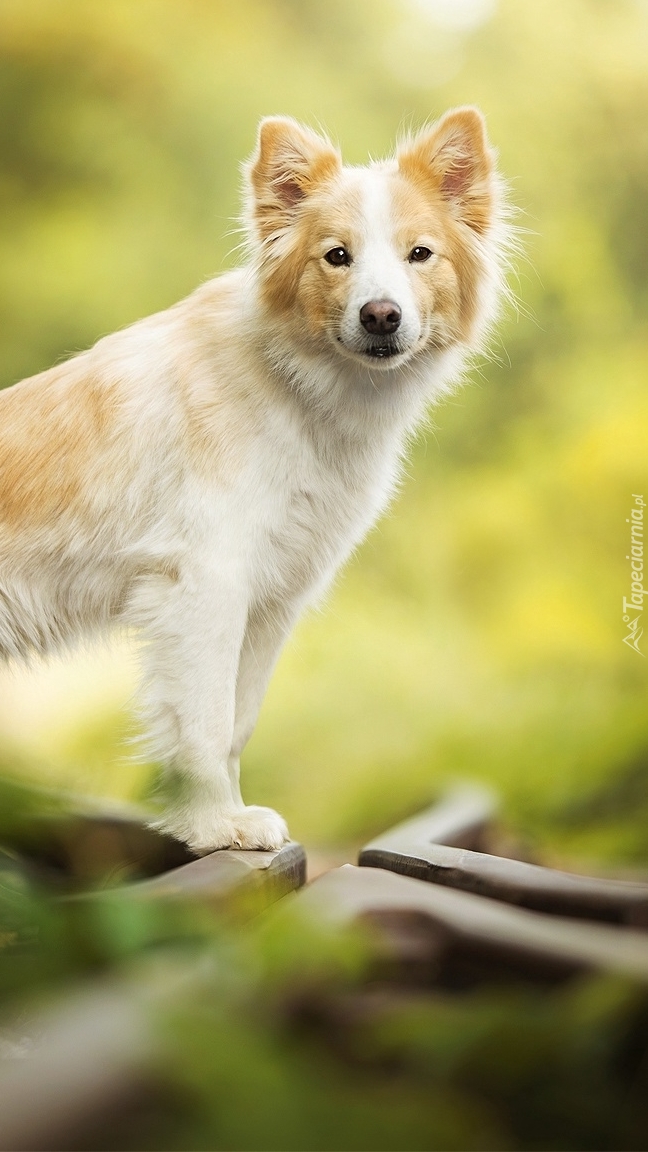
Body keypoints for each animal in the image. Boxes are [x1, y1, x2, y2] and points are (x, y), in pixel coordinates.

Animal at [0, 108, 507, 852]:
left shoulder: (270, 601)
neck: (292, 382)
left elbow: (238, 724)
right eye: (336, 256)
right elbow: (205, 725)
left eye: (421, 254)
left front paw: (222, 817)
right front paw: (216, 827)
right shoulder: (203, 586)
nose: (381, 315)